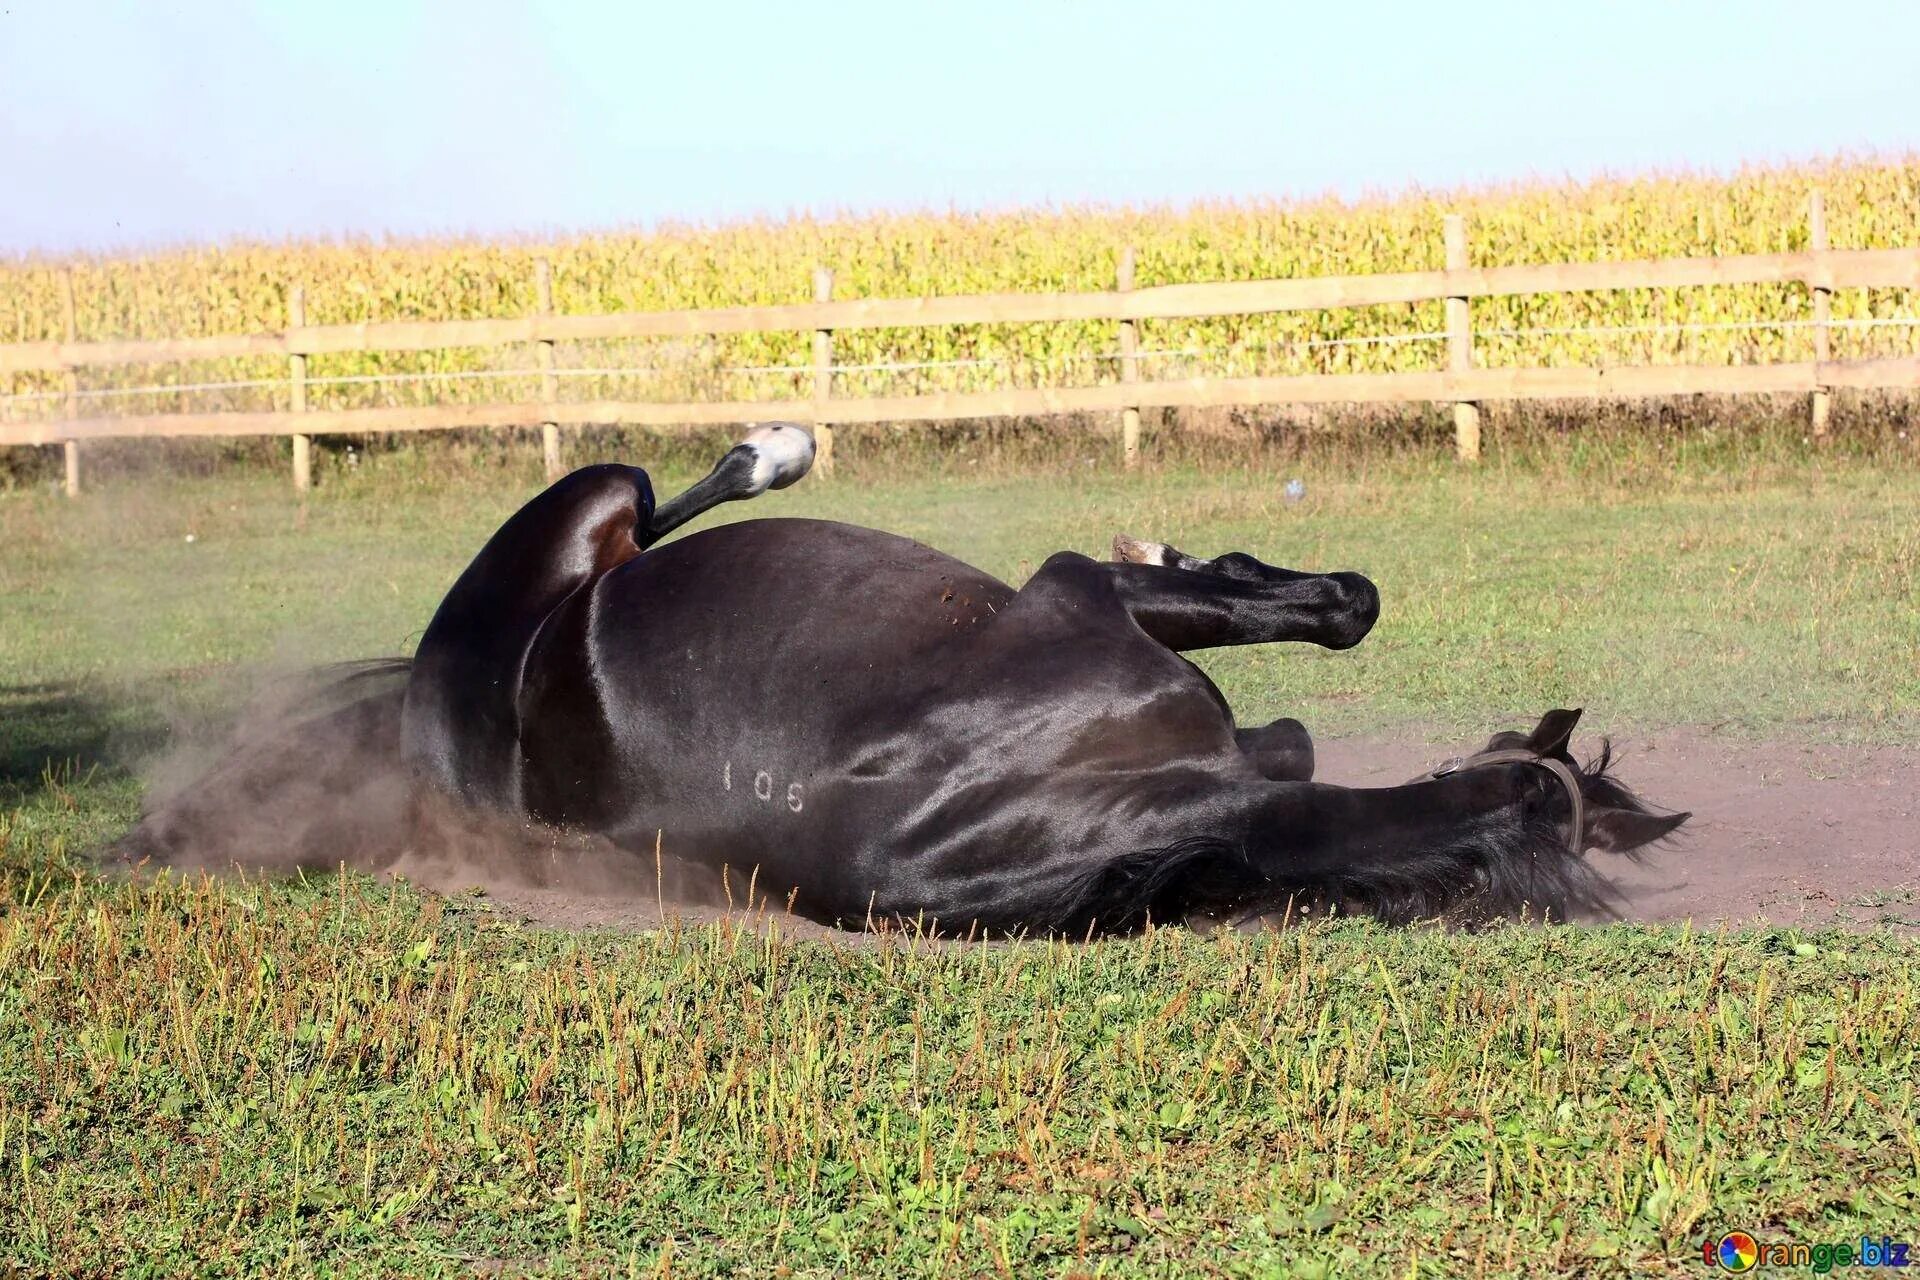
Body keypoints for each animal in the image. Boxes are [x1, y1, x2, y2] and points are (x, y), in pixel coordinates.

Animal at [116, 426, 1681, 936]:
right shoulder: (1076, 595)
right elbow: (1282, 605)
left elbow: (1299, 684)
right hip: (595, 491)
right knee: (656, 489)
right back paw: (768, 445)